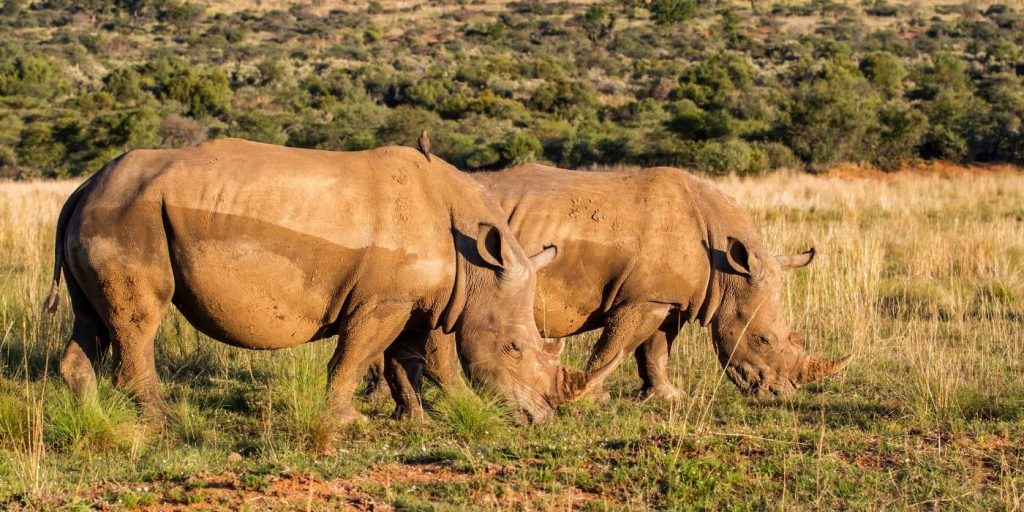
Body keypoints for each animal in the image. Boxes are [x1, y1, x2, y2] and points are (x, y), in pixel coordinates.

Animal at [46, 140, 614, 423]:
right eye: (514, 347)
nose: (542, 418)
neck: (477, 266)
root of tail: (82, 188)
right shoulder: (384, 301)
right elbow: (362, 355)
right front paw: (348, 421)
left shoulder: (422, 299)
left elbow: (415, 360)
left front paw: (431, 419)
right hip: (129, 214)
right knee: (140, 320)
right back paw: (162, 421)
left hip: (105, 212)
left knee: (95, 321)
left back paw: (93, 416)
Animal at [376, 163, 847, 415]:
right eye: (763, 339)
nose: (780, 394)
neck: (727, 267)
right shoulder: (643, 298)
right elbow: (617, 345)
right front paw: (594, 397)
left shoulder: (666, 298)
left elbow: (655, 350)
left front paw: (665, 397)